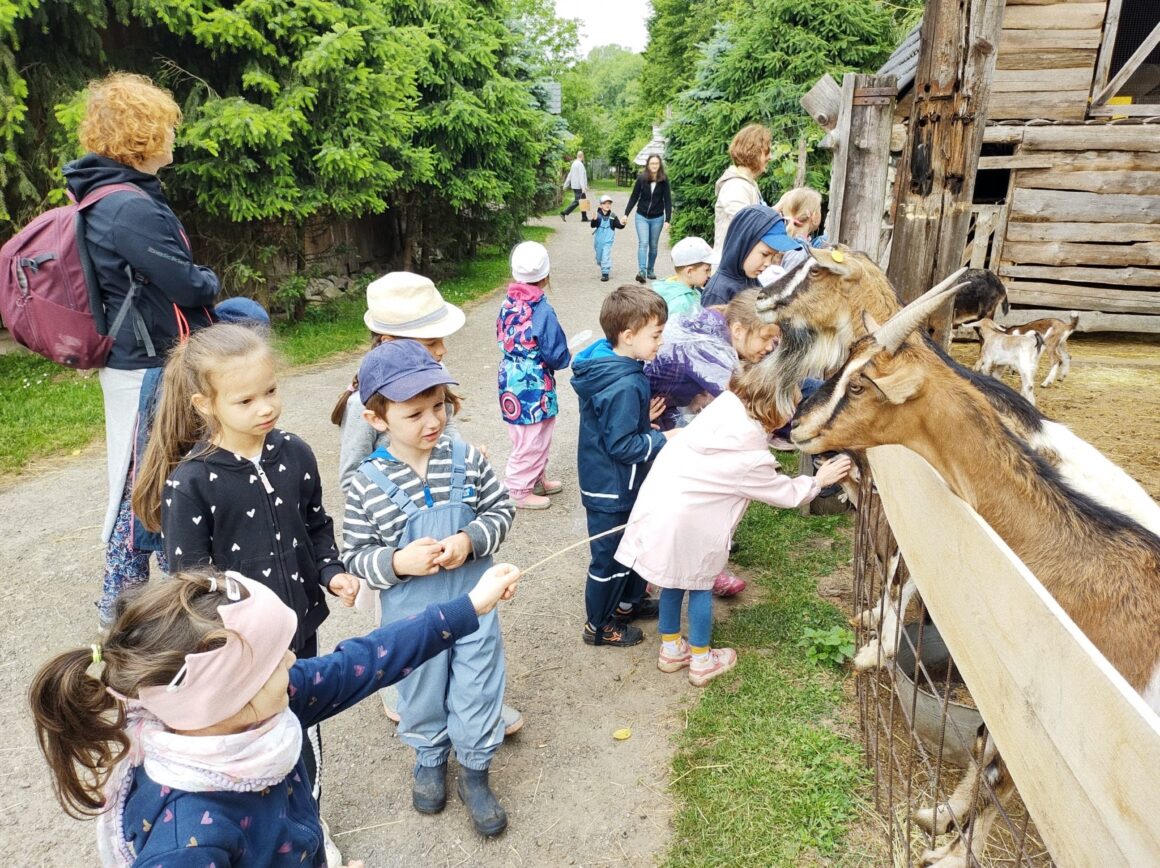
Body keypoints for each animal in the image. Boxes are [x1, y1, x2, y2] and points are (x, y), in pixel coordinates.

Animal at [788, 283, 1160, 863]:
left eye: (863, 383)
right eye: (845, 360)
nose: (796, 424)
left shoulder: (1053, 734)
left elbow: (1000, 777)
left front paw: (950, 854)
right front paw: (937, 816)